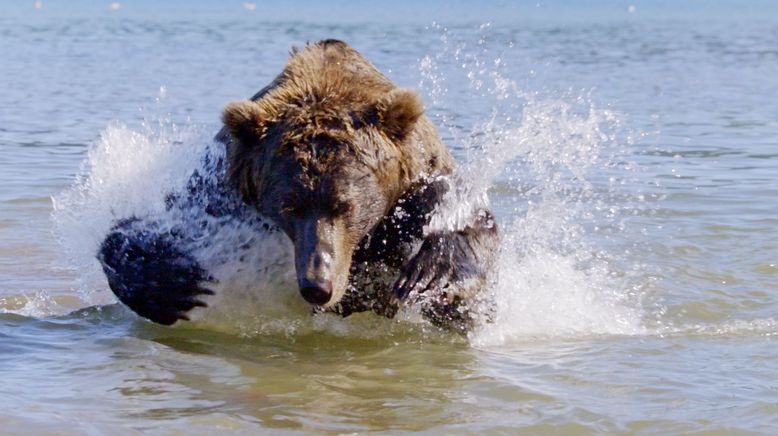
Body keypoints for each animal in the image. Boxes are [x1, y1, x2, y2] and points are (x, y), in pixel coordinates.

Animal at [98, 41, 498, 332]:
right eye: (290, 206)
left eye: (344, 205)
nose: (317, 285)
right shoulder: (224, 190)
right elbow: (150, 230)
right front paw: (176, 285)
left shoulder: (420, 183)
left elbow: (473, 225)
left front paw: (430, 275)